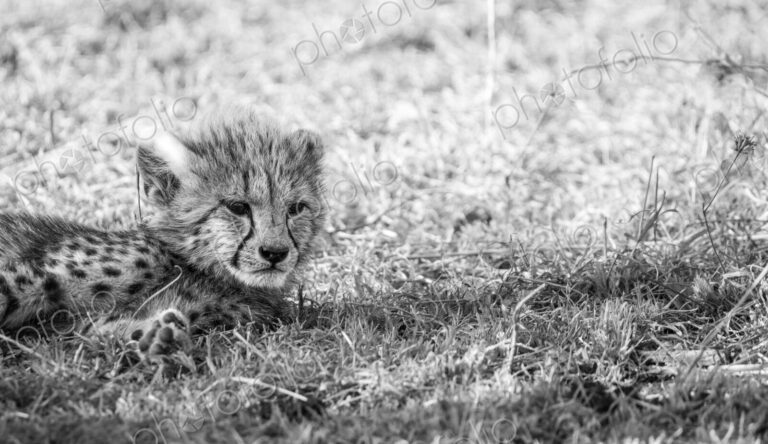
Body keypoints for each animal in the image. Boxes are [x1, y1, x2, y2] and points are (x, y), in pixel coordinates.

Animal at [0, 106, 326, 364]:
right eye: (237, 207)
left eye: (296, 208)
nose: (275, 253)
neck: (196, 268)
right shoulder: (33, 278)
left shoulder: (62, 329)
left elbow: (95, 332)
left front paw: (160, 339)